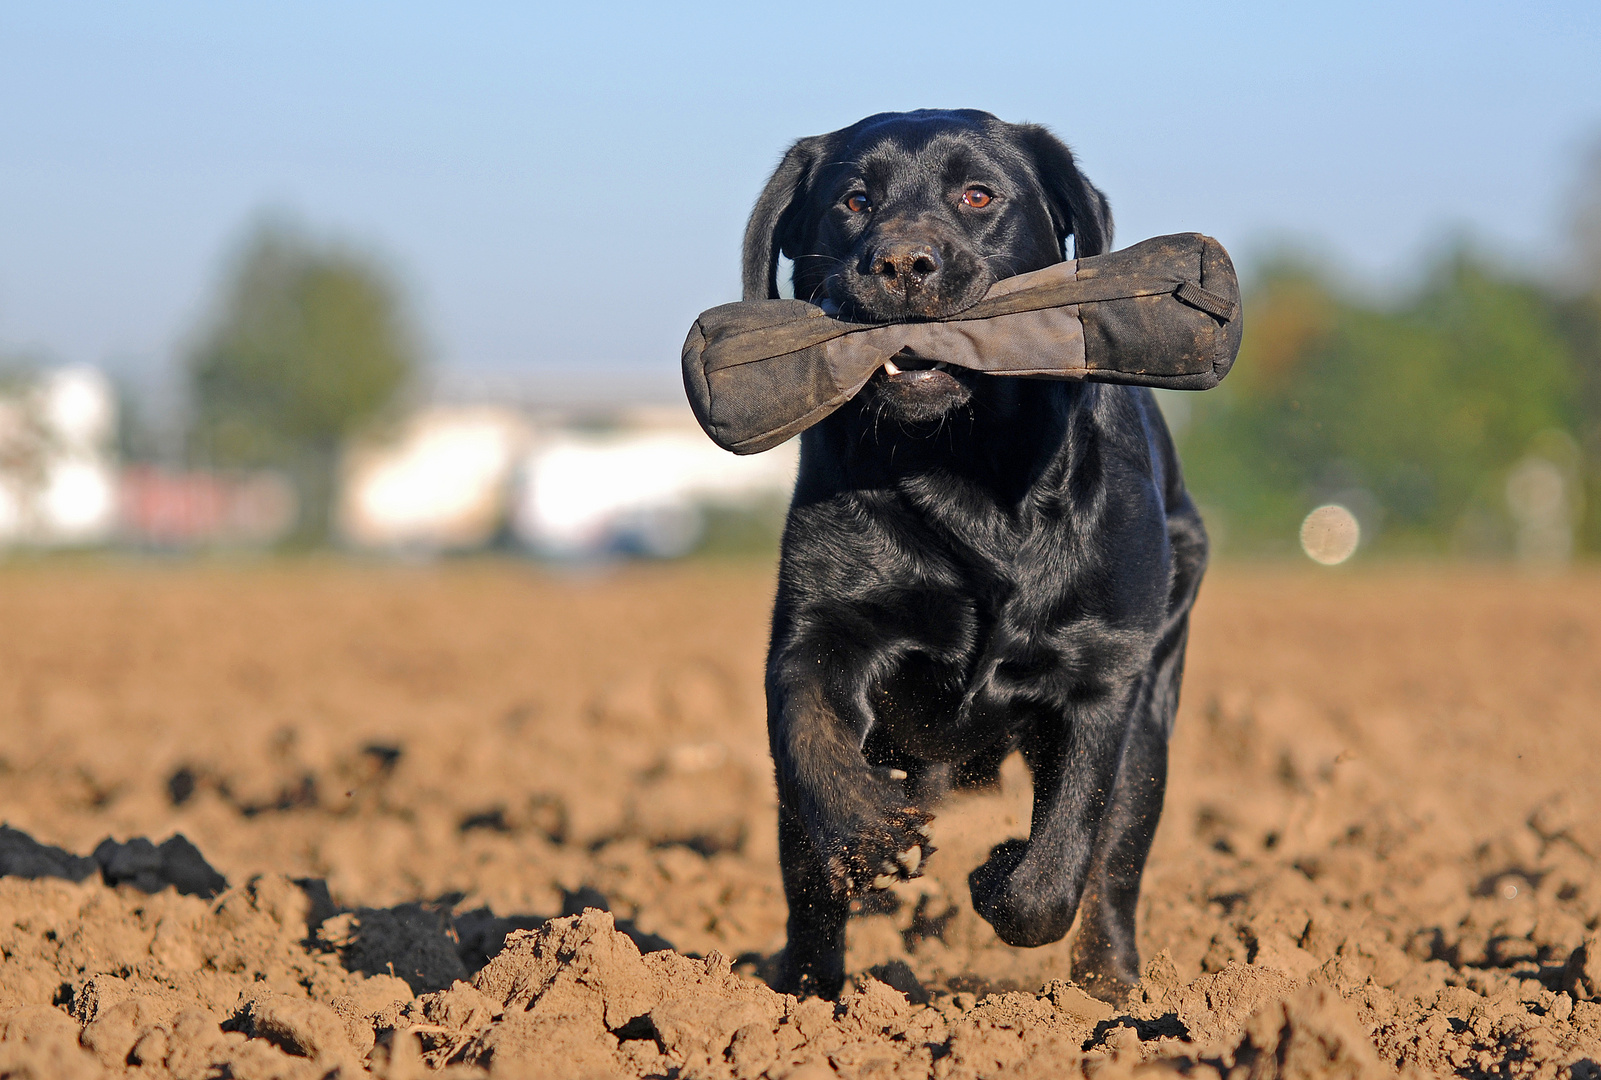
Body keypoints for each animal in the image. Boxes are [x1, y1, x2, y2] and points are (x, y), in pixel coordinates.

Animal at [742, 105, 1203, 998]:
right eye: (853, 200)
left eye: (978, 195)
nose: (902, 262)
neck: (965, 467)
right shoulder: (816, 631)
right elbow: (814, 744)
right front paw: (873, 839)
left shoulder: (1101, 673)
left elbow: (1062, 858)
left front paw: (999, 877)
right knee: (807, 883)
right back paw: (803, 995)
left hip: (1156, 712)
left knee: (1115, 861)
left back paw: (1111, 989)